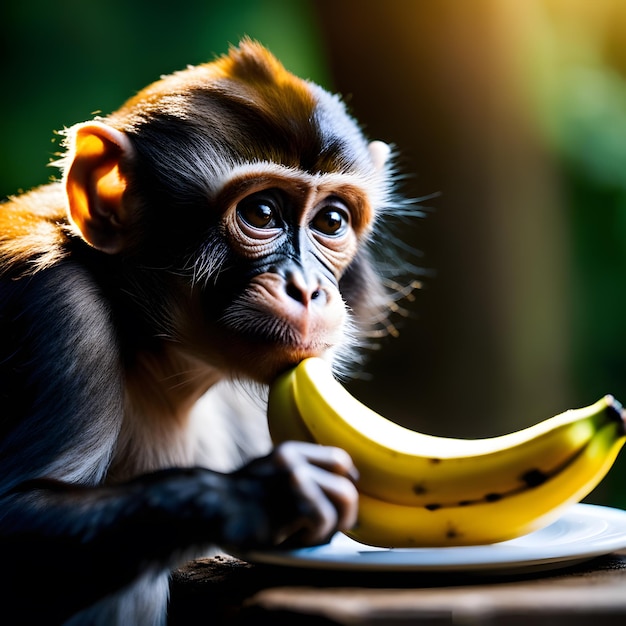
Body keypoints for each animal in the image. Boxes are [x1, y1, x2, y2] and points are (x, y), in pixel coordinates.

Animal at [0, 40, 404, 624]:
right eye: (261, 212)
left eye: (331, 222)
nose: (307, 289)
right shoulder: (56, 307)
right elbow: (16, 510)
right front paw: (259, 495)